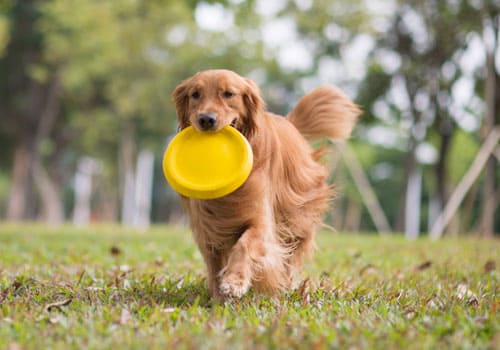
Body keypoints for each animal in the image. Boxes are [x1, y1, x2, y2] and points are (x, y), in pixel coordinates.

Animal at [173, 69, 360, 300]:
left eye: (228, 94)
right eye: (195, 94)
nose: (206, 119)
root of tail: (290, 123)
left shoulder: (260, 219)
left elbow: (244, 245)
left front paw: (234, 282)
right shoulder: (206, 225)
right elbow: (213, 261)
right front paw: (218, 296)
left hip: (297, 216)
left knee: (291, 253)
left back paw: (284, 287)